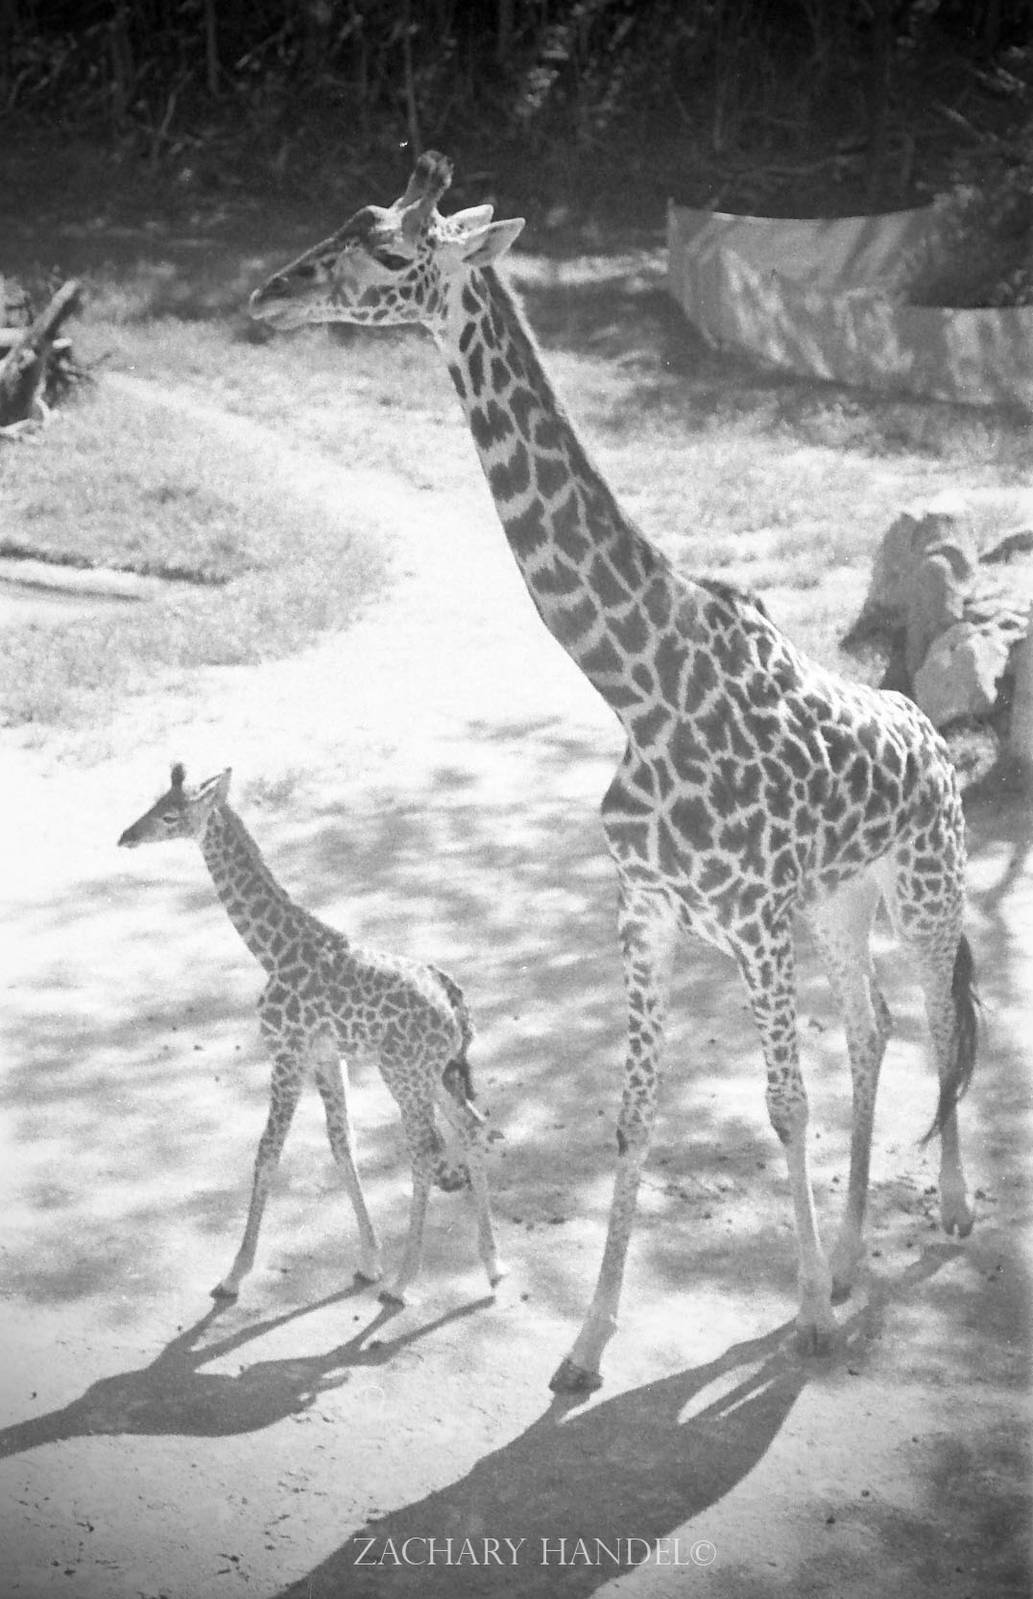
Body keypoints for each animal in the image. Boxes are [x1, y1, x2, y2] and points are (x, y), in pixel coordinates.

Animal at [118, 763, 503, 1306]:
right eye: (154, 802)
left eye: (170, 815)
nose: (126, 836)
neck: (271, 949)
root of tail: (457, 1005)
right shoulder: (326, 1055)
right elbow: (342, 1144)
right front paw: (369, 1261)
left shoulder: (286, 1051)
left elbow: (267, 1151)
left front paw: (234, 1275)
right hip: (438, 1074)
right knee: (471, 1130)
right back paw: (492, 1265)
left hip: (403, 1074)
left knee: (426, 1151)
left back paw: (405, 1283)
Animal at [248, 153, 978, 1393]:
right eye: (343, 224)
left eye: (391, 252)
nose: (268, 296)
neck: (638, 687)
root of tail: (928, 731)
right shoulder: (644, 911)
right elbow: (633, 1118)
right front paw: (586, 1345)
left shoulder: (749, 923)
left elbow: (781, 1106)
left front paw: (808, 1323)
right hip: (837, 902)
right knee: (873, 1026)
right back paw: (846, 1257)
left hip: (923, 883)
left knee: (933, 1015)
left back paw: (946, 1219)